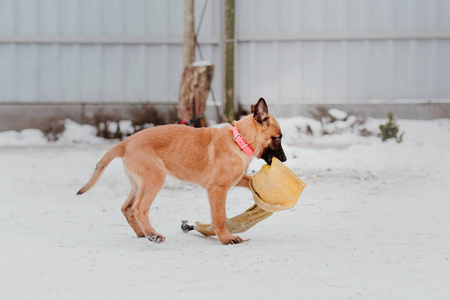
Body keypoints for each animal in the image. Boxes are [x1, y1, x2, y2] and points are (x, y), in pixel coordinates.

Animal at [76, 98, 284, 244]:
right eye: (277, 138)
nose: (285, 160)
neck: (239, 141)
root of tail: (125, 143)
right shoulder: (217, 189)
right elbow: (219, 217)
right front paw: (226, 238)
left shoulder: (235, 179)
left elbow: (249, 180)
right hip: (154, 178)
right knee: (139, 208)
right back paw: (153, 234)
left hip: (139, 182)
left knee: (127, 207)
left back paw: (142, 233)